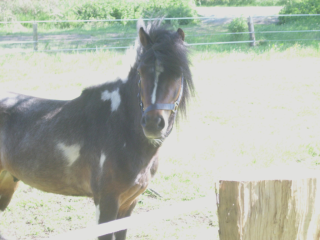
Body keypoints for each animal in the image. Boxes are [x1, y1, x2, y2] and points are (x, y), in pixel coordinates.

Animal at [0, 21, 194, 240]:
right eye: (141, 72)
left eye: (178, 74)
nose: (153, 123)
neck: (121, 128)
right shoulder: (106, 201)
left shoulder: (129, 203)